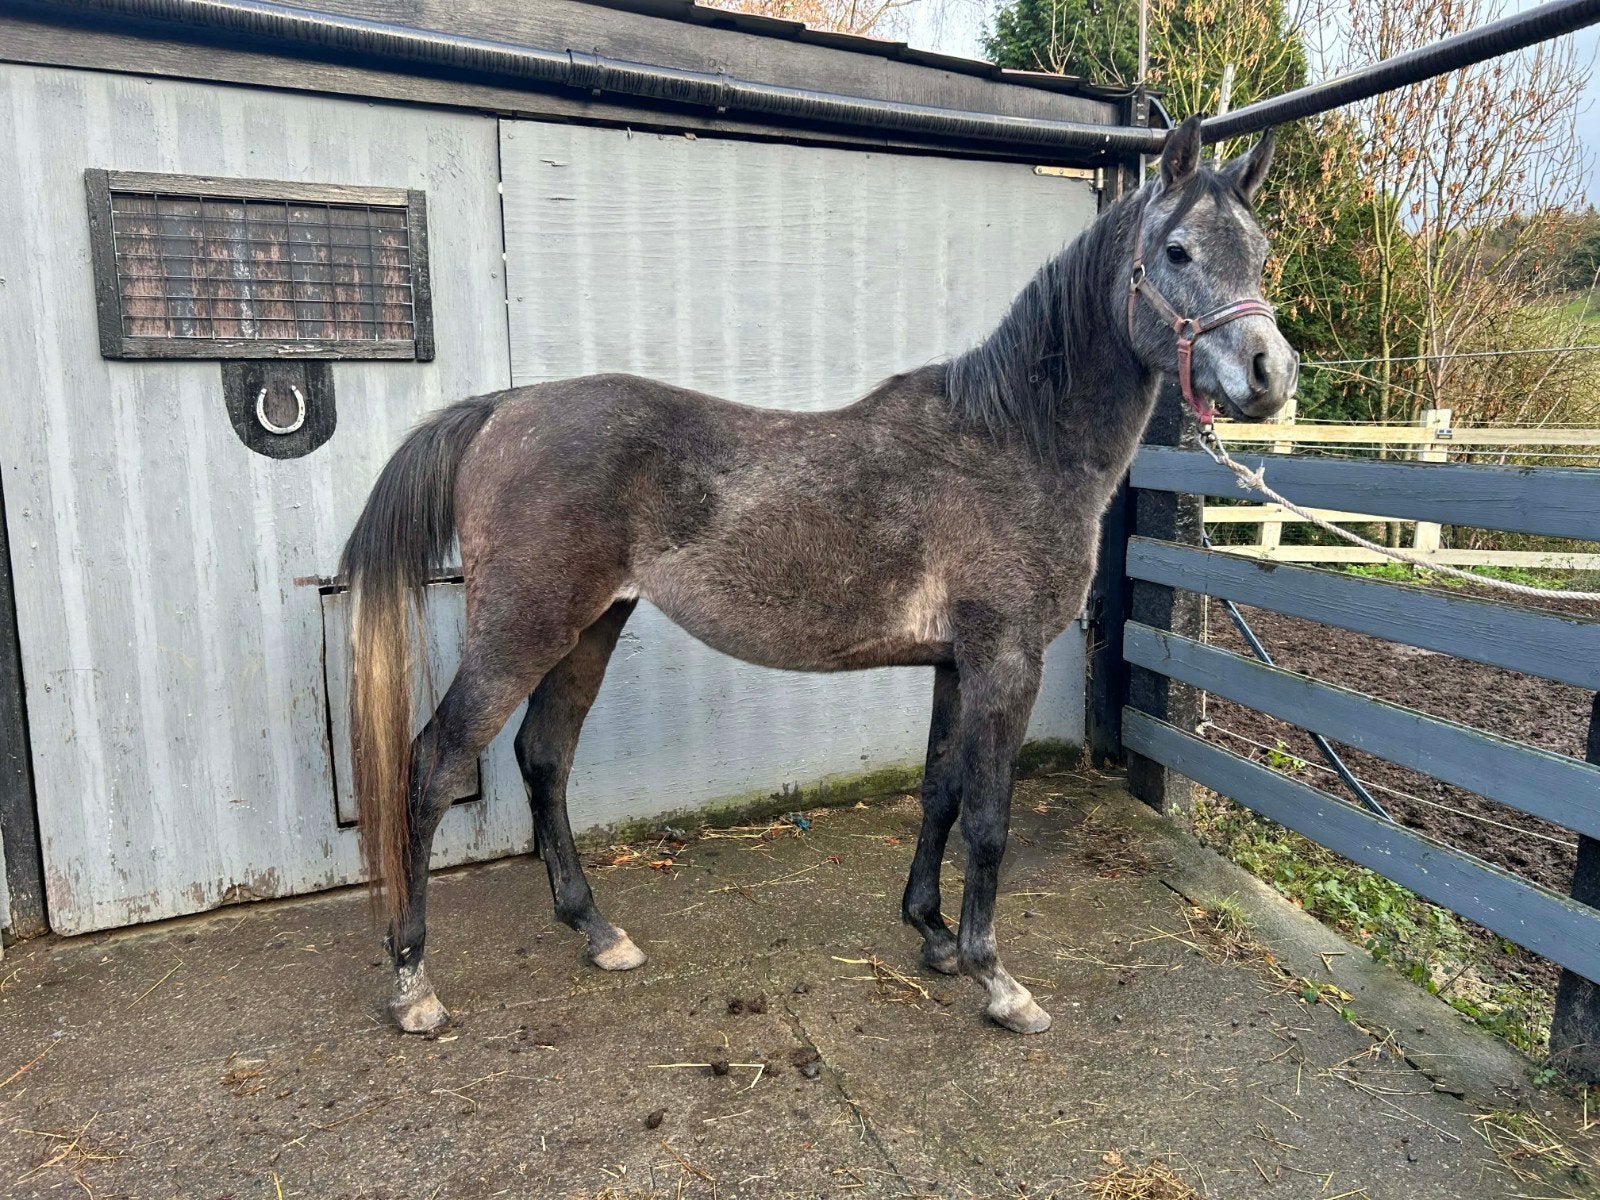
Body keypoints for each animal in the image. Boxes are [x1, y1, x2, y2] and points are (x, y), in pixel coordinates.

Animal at [340, 115, 1297, 1036]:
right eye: (1177, 252)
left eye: (1259, 252)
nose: (1271, 373)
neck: (1012, 442)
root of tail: (504, 408)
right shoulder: (1005, 661)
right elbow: (990, 822)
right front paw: (997, 980)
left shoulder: (955, 665)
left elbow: (940, 794)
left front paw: (933, 935)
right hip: (523, 629)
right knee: (432, 768)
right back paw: (413, 983)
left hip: (591, 626)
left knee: (544, 758)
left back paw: (598, 932)